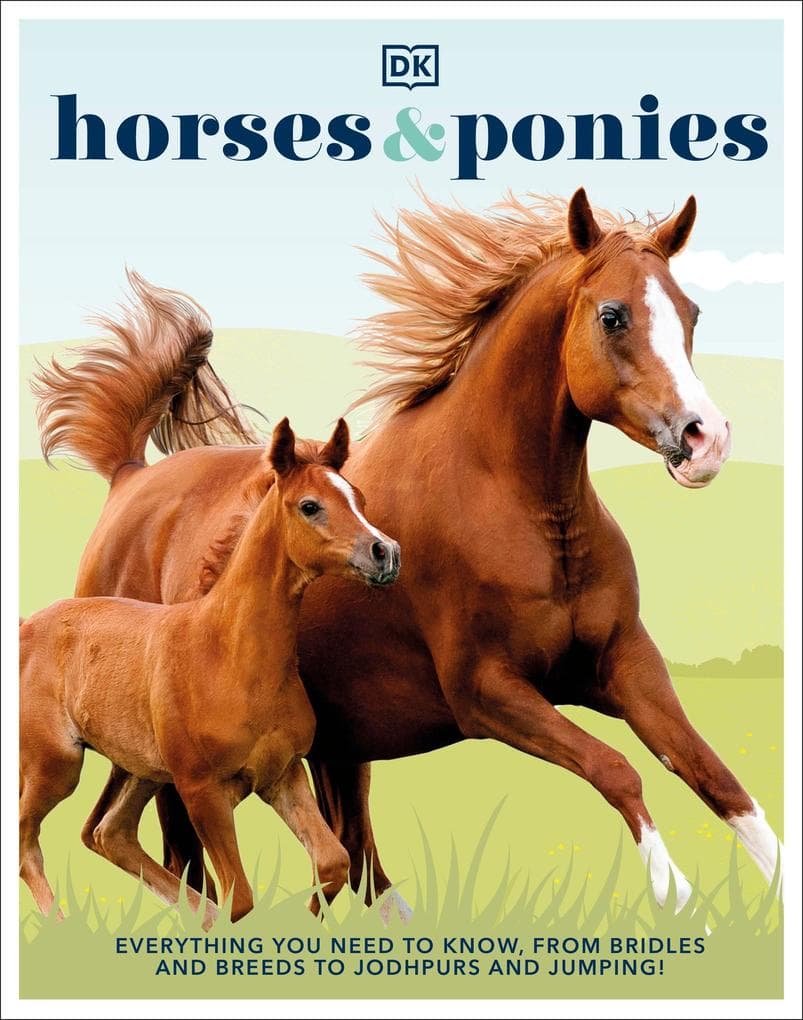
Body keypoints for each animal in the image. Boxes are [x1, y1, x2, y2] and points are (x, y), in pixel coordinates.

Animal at [19, 417, 400, 924]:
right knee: (27, 840)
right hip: (55, 764)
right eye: (310, 506)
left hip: (142, 769)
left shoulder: (283, 775)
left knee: (108, 832)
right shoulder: (203, 791)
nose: (385, 552)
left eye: (357, 496)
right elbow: (242, 897)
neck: (229, 656)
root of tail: (25, 627)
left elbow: (332, 861)